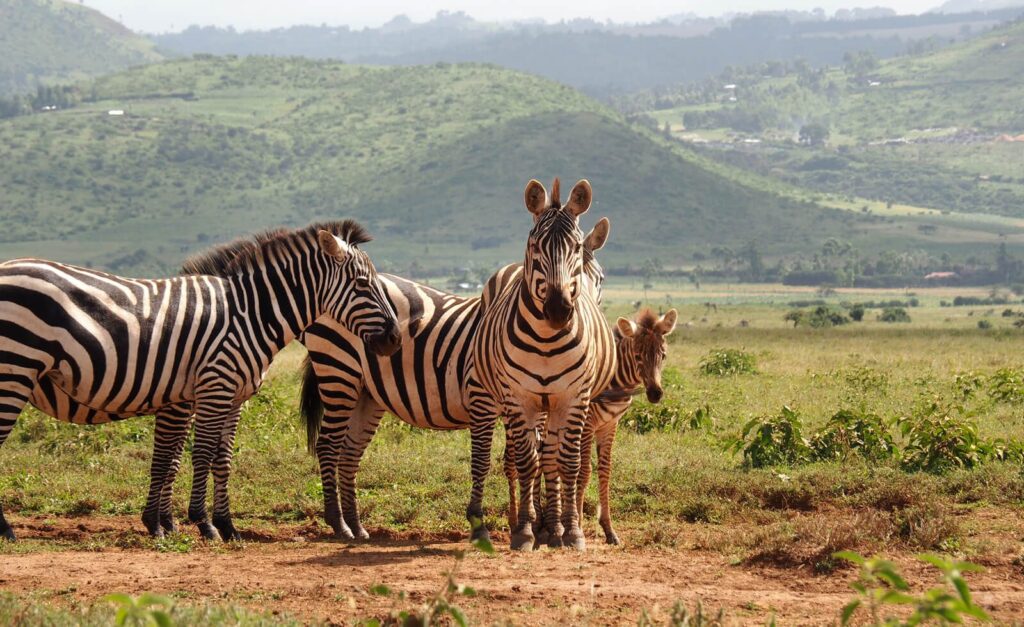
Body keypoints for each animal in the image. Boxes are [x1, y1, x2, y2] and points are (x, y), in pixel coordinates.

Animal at [0, 220, 399, 542]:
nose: (395, 339)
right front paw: (200, 523)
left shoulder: (232, 397)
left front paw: (222, 525)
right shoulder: (212, 389)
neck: (249, 314)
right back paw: (6, 531)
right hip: (14, 370)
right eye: (363, 285)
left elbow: (215, 457)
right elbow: (197, 453)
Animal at [297, 218, 610, 540]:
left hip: (366, 393)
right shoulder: (483, 398)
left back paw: (356, 525)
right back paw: (338, 523)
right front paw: (506, 523)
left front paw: (536, 522)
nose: (563, 315)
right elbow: (488, 460)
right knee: (328, 446)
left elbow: (528, 458)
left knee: (349, 452)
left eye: (600, 279)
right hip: (338, 372)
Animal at [466, 178, 617, 551]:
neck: (547, 339)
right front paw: (524, 529)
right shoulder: (519, 398)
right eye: (534, 245)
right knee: (501, 458)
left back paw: (551, 524)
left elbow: (568, 462)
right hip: (499, 398)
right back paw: (509, 522)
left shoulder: (574, 399)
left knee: (549, 456)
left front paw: (569, 530)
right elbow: (525, 461)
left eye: (575, 248)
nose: (559, 310)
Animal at [503, 308, 678, 545]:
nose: (655, 394)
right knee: (512, 463)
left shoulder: (610, 425)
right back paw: (517, 523)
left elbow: (605, 471)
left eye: (663, 355)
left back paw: (540, 522)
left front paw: (608, 529)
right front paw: (576, 526)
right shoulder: (586, 424)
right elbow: (584, 471)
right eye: (637, 356)